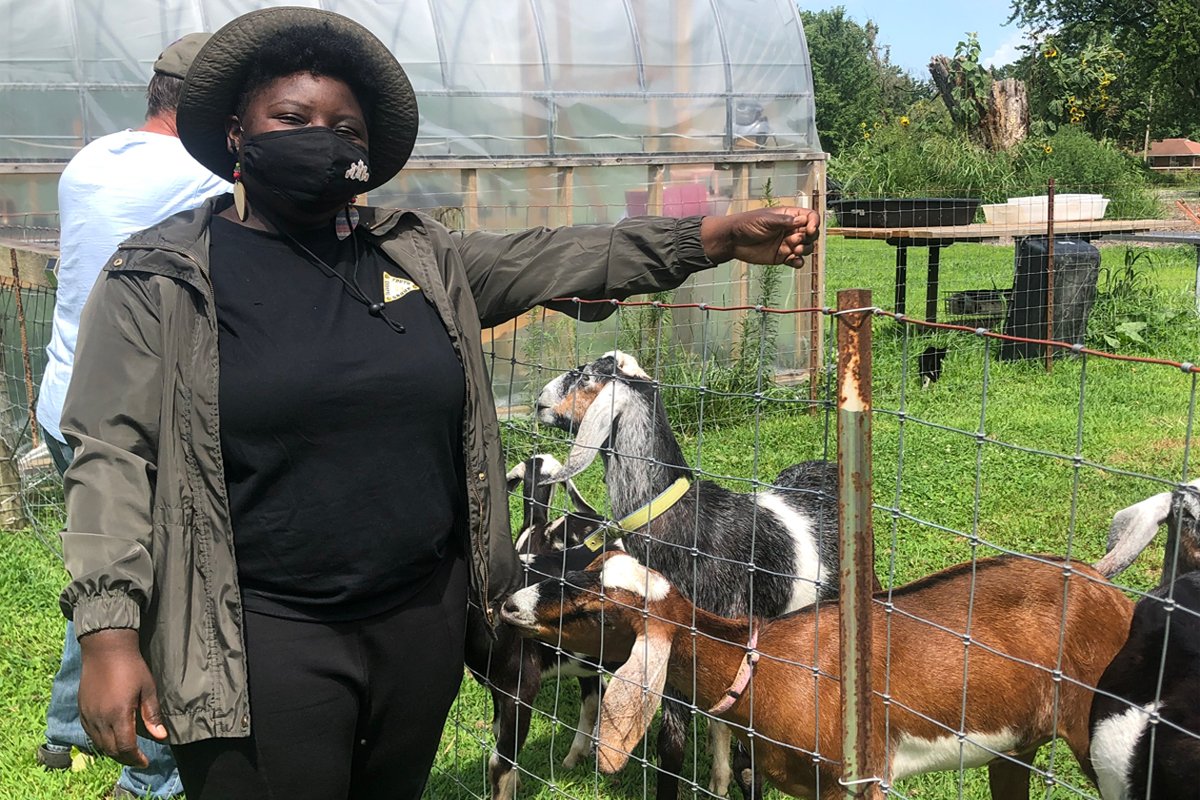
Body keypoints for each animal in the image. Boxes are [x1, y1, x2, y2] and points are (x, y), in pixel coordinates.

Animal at [501, 551, 1133, 800]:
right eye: (590, 564)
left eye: (594, 612)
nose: (508, 604)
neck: (762, 667)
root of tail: (1110, 592)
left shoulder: (861, 779)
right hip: (1014, 746)